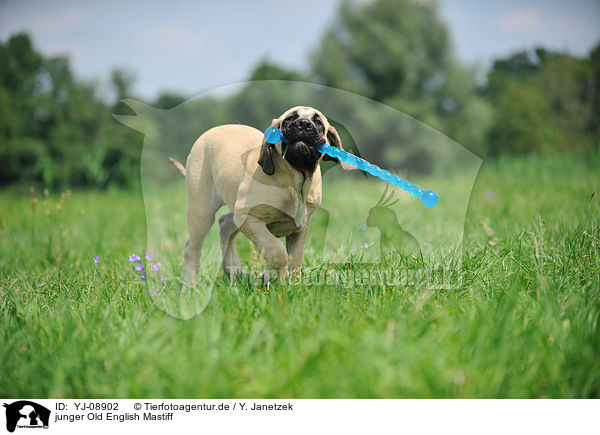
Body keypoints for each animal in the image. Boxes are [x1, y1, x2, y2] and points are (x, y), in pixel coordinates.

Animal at [169, 105, 354, 282]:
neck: (294, 180)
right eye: (290, 119)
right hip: (203, 211)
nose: (303, 124)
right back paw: (190, 284)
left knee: (225, 224)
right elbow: (276, 250)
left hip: (233, 209)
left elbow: (295, 258)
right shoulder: (249, 218)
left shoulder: (301, 227)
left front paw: (289, 283)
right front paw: (277, 279)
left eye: (318, 122)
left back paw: (234, 270)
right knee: (192, 248)